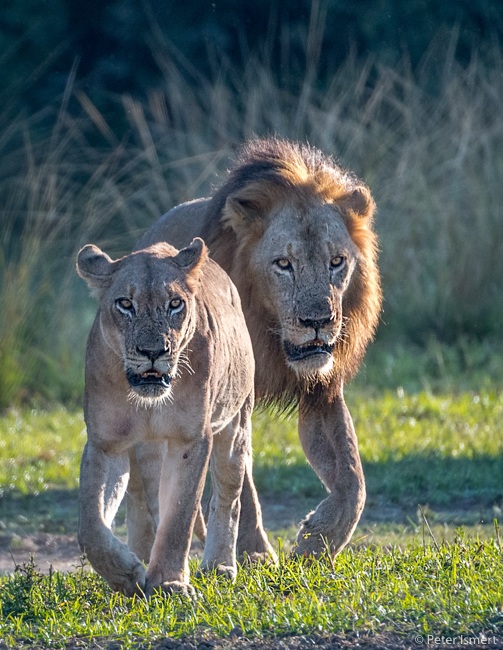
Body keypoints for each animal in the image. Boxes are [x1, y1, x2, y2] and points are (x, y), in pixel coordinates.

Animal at [76, 238, 269, 597]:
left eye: (175, 304)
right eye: (125, 304)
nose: (153, 352)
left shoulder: (190, 439)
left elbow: (180, 514)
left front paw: (169, 583)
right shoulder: (106, 444)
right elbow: (90, 526)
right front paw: (126, 574)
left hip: (235, 426)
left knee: (228, 498)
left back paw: (219, 565)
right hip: (148, 453)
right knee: (146, 501)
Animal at [135, 138, 382, 558]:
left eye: (337, 261)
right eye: (283, 264)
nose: (317, 322)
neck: (270, 337)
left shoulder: (323, 391)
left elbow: (354, 478)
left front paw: (316, 542)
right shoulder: (230, 402)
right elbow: (241, 484)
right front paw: (253, 553)